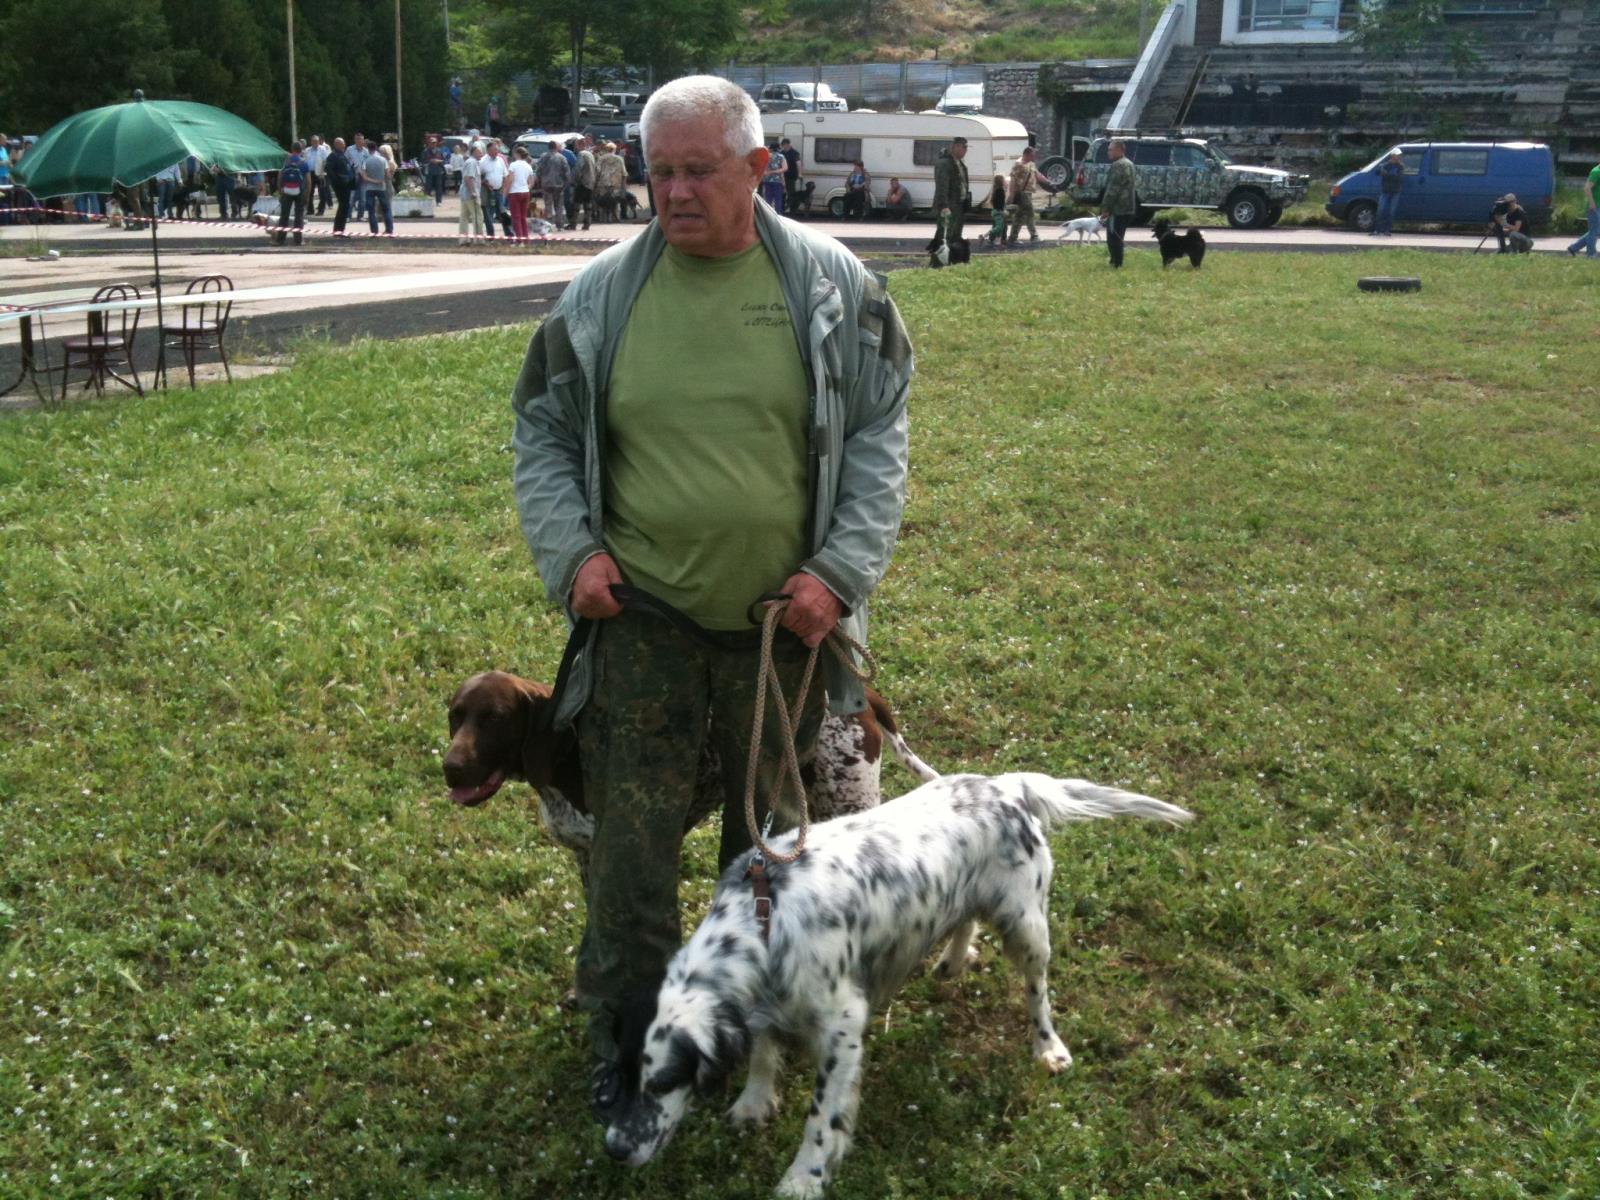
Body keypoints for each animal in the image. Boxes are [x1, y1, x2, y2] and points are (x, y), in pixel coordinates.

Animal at [442, 670, 939, 885]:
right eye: (455, 716)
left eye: (495, 718)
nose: (448, 767)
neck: (567, 758)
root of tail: (862, 693)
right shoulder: (588, 856)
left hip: (848, 798)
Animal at [601, 772, 1193, 1196]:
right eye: (617, 1078)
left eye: (663, 1082)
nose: (614, 1150)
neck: (763, 920)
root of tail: (1005, 783)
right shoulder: (766, 1005)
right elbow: (764, 1052)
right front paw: (753, 1102)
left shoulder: (842, 1026)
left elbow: (822, 1118)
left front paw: (803, 1178)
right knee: (963, 920)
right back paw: (953, 961)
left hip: (1027, 926)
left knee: (1038, 993)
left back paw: (1047, 1048)